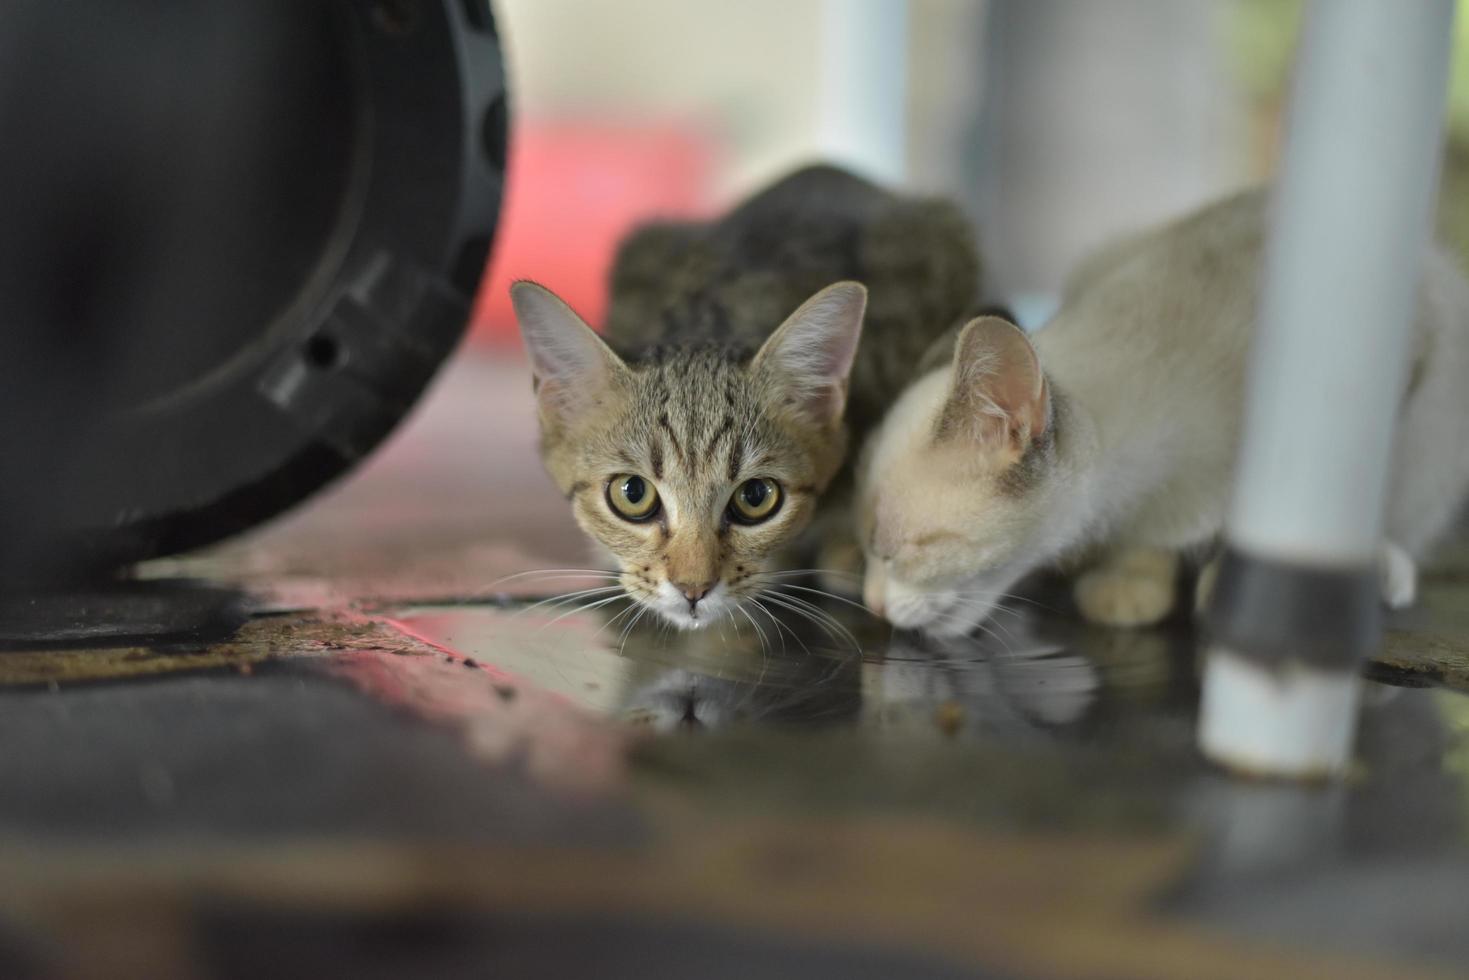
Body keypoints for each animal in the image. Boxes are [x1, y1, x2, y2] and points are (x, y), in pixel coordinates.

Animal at [857, 189, 1469, 640]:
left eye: (894, 551)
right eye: (870, 550)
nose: (872, 607)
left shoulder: (1405, 357)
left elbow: (1366, 483)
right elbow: (1153, 542)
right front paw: (1131, 584)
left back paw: (1391, 567)